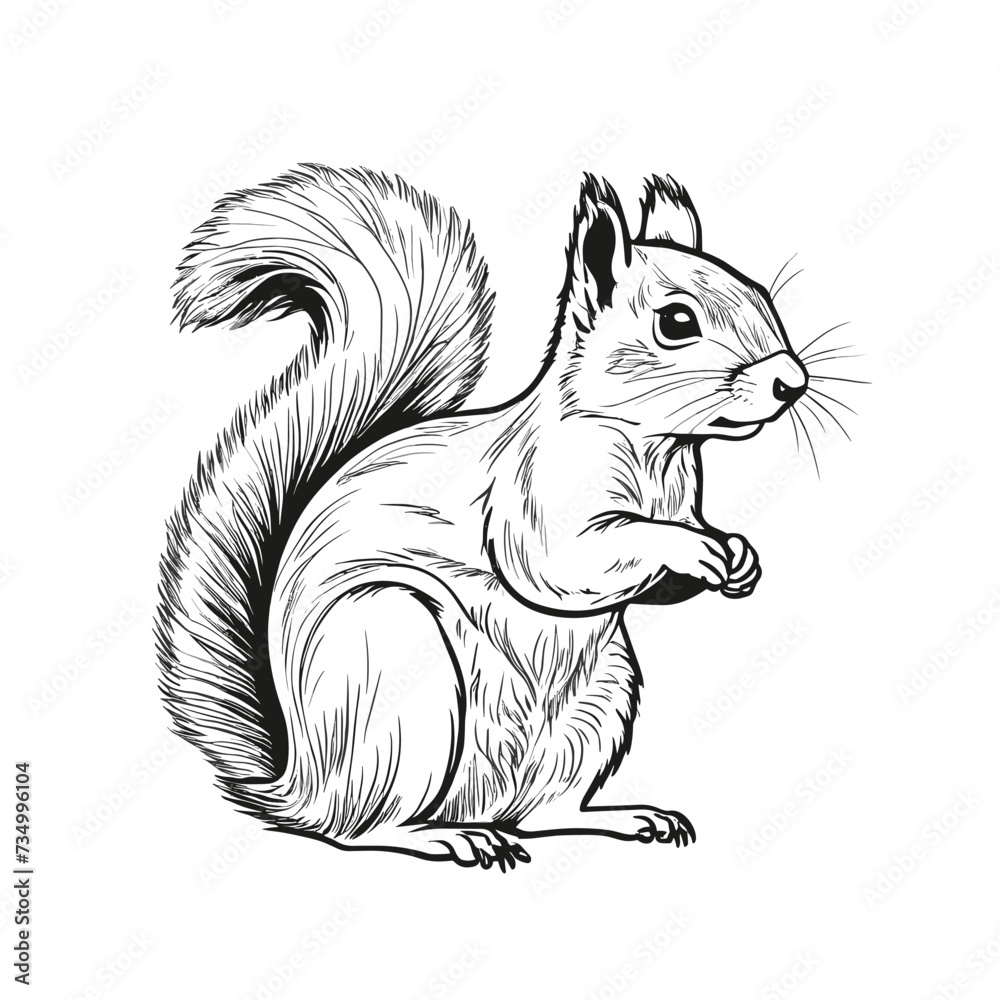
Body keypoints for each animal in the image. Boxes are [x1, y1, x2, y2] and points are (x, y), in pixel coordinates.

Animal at [156, 164, 812, 871]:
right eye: (677, 321)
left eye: (761, 294)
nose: (792, 382)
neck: (655, 449)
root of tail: (300, 785)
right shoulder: (530, 499)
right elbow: (565, 561)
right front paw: (690, 547)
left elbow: (661, 581)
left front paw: (736, 554)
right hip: (396, 670)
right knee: (360, 829)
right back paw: (445, 837)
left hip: (599, 705)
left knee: (545, 815)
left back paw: (624, 818)